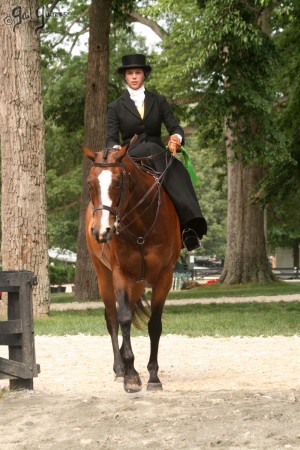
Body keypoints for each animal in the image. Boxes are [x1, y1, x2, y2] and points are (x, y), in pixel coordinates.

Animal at [82, 141, 180, 394]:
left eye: (118, 182)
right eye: (90, 183)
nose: (101, 231)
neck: (141, 225)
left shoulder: (165, 276)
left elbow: (154, 324)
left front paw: (153, 376)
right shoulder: (121, 274)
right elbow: (124, 318)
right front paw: (131, 375)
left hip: (137, 283)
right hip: (104, 277)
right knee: (112, 318)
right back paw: (120, 369)